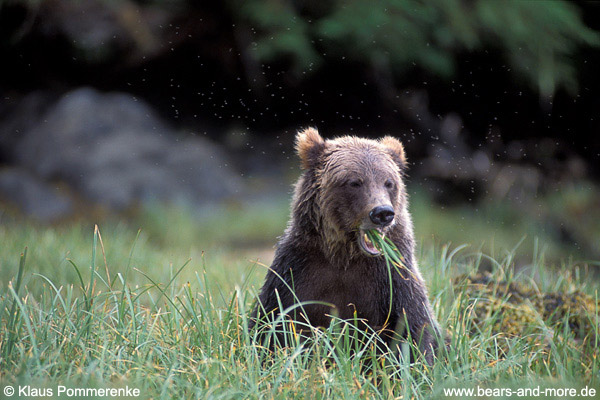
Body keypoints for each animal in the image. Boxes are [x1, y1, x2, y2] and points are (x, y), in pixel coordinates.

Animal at [248, 127, 440, 362]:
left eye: (389, 182)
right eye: (355, 181)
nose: (382, 213)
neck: (345, 255)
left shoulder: (393, 277)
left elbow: (412, 330)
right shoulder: (296, 271)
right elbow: (272, 325)